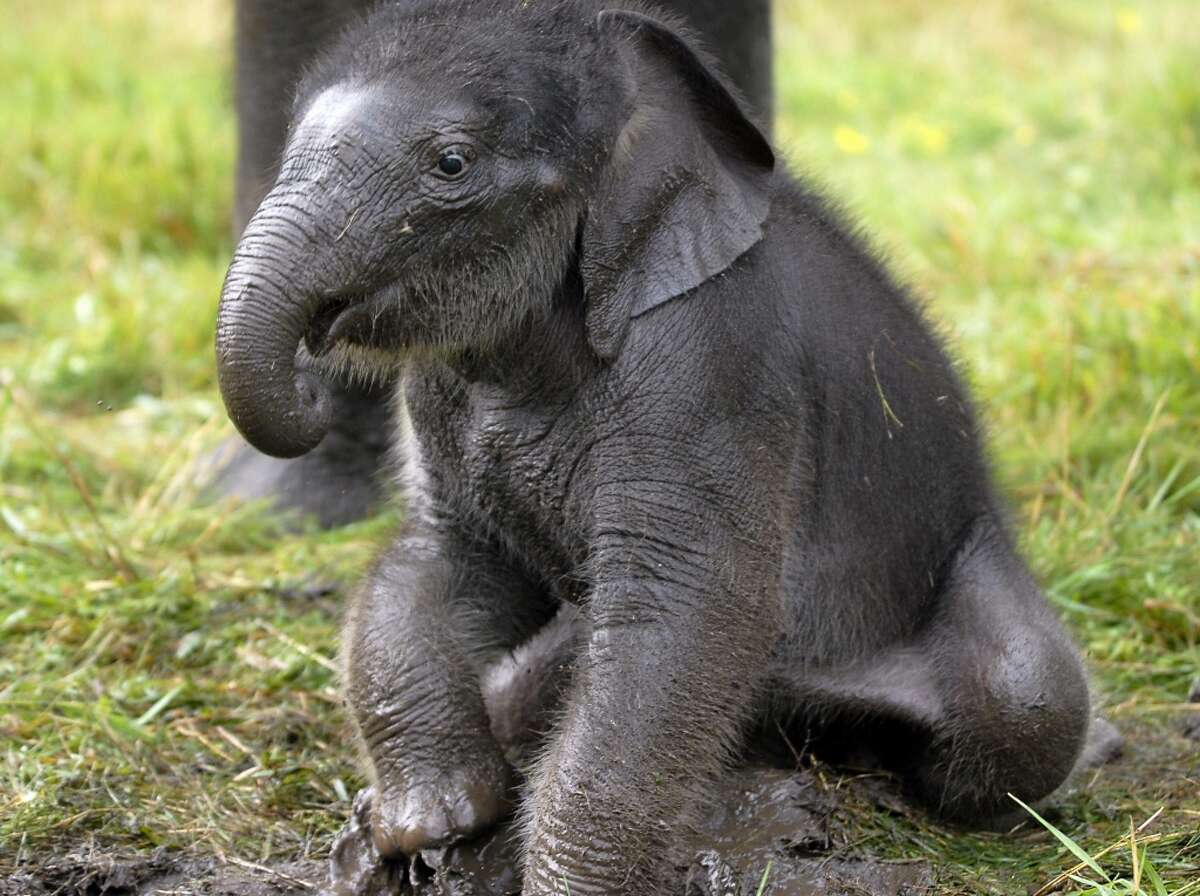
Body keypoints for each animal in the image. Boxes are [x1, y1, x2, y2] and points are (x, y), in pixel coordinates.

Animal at [211, 1, 1094, 892]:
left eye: (450, 163)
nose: (311, 379)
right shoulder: (442, 393)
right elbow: (444, 563)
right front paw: (420, 829)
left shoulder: (710, 360)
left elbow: (684, 615)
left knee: (1025, 701)